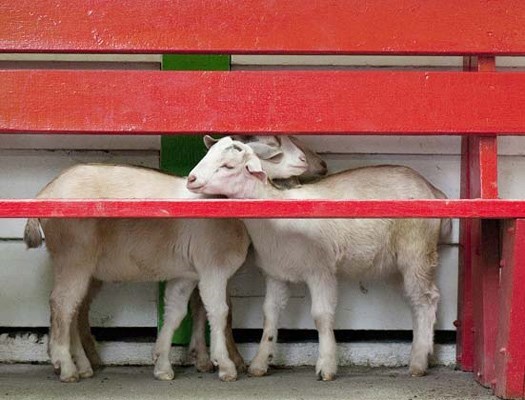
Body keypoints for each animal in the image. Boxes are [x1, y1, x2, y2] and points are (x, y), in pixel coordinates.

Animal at [25, 136, 328, 382]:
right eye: (273, 151)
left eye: (227, 164)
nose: (310, 162)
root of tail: (45, 192)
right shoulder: (212, 267)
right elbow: (219, 311)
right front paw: (225, 365)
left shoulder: (186, 274)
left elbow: (175, 313)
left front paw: (162, 366)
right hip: (74, 254)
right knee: (63, 304)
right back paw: (67, 367)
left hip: (79, 264)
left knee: (73, 308)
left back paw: (82, 365)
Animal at [186, 137, 448, 382]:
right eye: (207, 154)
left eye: (228, 165)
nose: (191, 179)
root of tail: (432, 188)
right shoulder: (275, 272)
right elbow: (270, 313)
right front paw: (260, 363)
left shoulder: (320, 270)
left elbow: (321, 316)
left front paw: (326, 366)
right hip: (395, 261)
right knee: (415, 300)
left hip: (417, 250)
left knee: (426, 299)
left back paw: (418, 361)